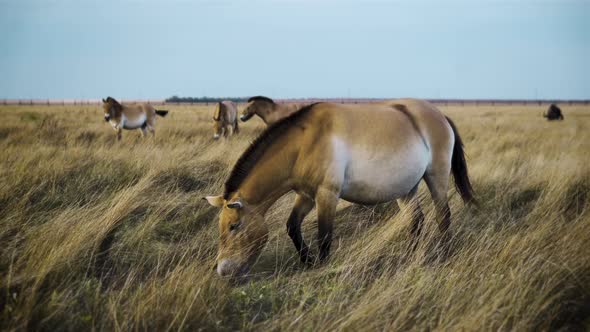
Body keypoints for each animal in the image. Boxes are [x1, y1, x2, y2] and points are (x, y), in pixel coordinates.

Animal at [206, 98, 478, 278]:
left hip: (436, 178)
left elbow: (325, 236)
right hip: (406, 189)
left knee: (443, 216)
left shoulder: (327, 195)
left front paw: (321, 268)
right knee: (416, 221)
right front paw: (308, 261)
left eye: (233, 226)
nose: (222, 270)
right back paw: (410, 257)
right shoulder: (306, 195)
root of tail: (441, 116)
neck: (305, 142)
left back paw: (443, 254)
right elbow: (292, 226)